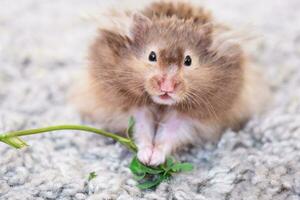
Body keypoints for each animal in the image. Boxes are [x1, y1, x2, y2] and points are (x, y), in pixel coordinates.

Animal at [72, 1, 270, 166]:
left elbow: (169, 136)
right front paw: (145, 158)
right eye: (152, 56)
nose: (166, 87)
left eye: (188, 60)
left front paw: (154, 160)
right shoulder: (131, 107)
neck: (162, 105)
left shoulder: (189, 118)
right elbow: (142, 130)